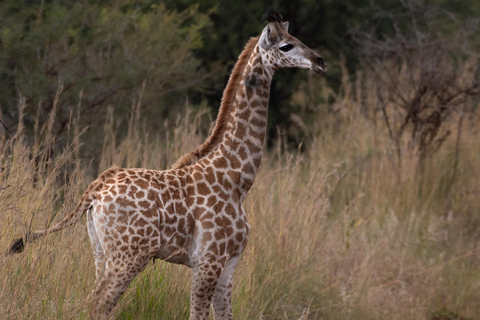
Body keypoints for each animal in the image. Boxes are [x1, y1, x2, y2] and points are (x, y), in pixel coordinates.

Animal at [8, 11, 326, 318]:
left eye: (297, 38)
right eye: (286, 45)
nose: (320, 61)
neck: (238, 178)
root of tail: (97, 189)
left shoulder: (230, 262)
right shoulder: (208, 261)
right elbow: (197, 314)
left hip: (101, 251)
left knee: (92, 303)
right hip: (130, 255)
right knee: (97, 305)